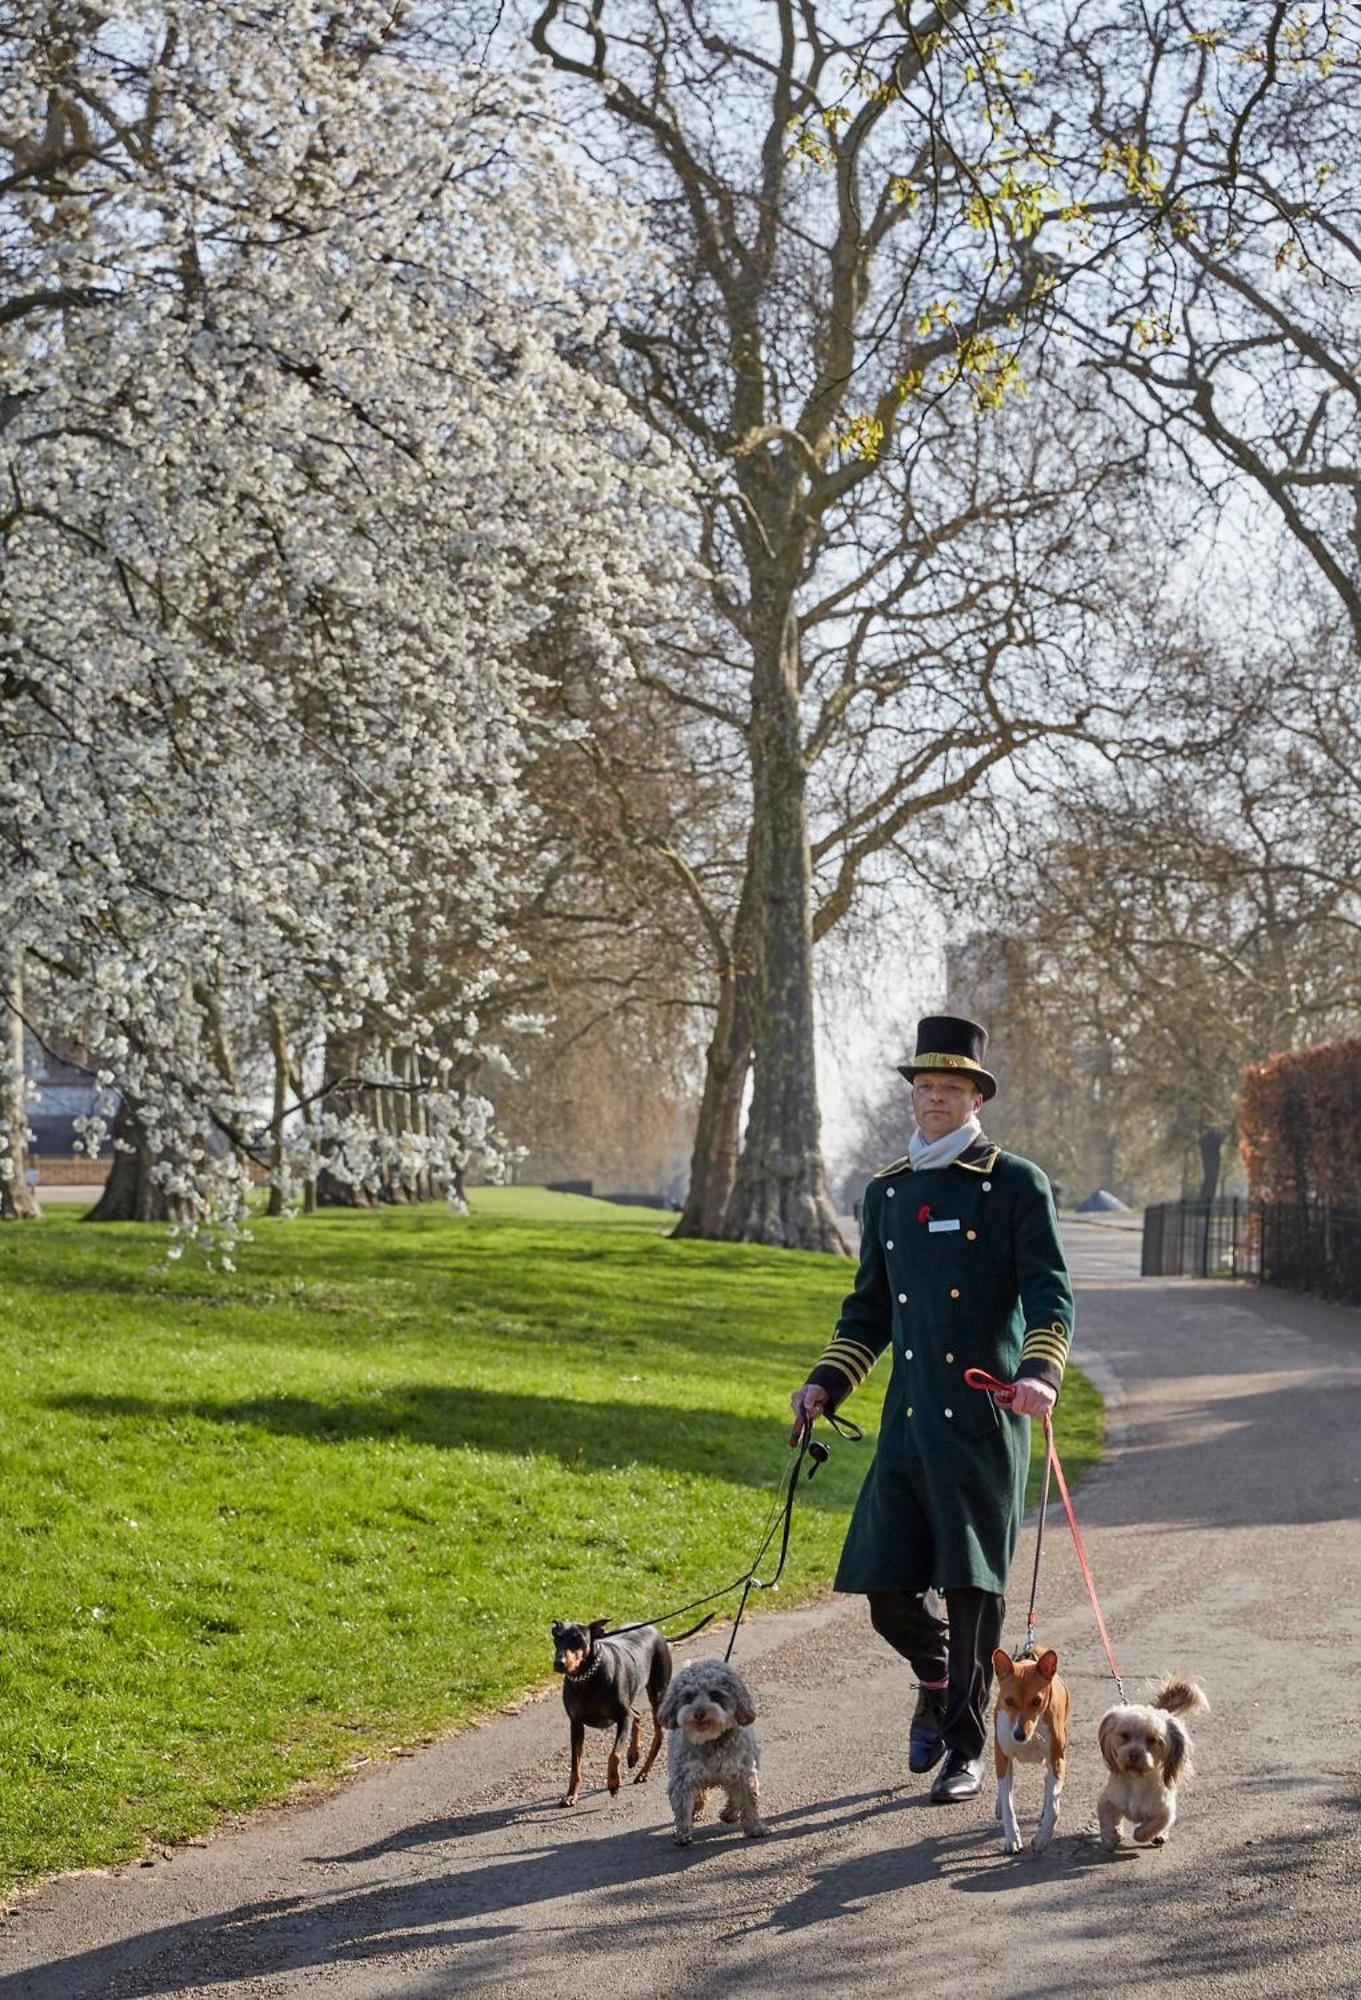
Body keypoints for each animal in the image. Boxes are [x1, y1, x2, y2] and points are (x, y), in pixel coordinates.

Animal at [552, 1616, 676, 1808]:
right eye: (557, 1638)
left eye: (579, 1640)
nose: (559, 1663)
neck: (586, 1677)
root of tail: (658, 1632)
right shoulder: (576, 1724)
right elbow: (575, 1765)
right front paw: (571, 1795)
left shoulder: (622, 1718)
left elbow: (614, 1755)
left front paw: (613, 1783)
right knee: (637, 1713)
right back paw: (633, 1753)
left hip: (657, 1694)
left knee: (658, 1734)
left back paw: (643, 1772)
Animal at [656, 1656, 764, 1840]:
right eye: (688, 1696)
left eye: (716, 1694)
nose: (699, 1713)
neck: (711, 1740)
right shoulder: (682, 1776)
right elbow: (682, 1805)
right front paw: (683, 1832)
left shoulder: (743, 1772)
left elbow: (748, 1801)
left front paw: (755, 1828)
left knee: (733, 1795)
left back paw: (729, 1813)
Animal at [992, 1648, 1064, 1848]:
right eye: (1009, 1701)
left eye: (1036, 1701)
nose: (1019, 1735)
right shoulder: (1003, 1756)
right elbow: (1008, 1805)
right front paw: (1012, 1838)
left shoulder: (1057, 1759)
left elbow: (1054, 1807)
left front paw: (1043, 1837)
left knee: (1047, 1783)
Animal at [1096, 1664, 1208, 1848]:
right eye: (1124, 1735)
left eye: (1152, 1740)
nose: (1134, 1754)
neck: (1137, 1780)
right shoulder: (1107, 1799)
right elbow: (1106, 1819)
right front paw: (1112, 1836)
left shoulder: (1165, 1811)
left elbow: (1150, 1827)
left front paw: (1145, 1834)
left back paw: (1160, 1836)